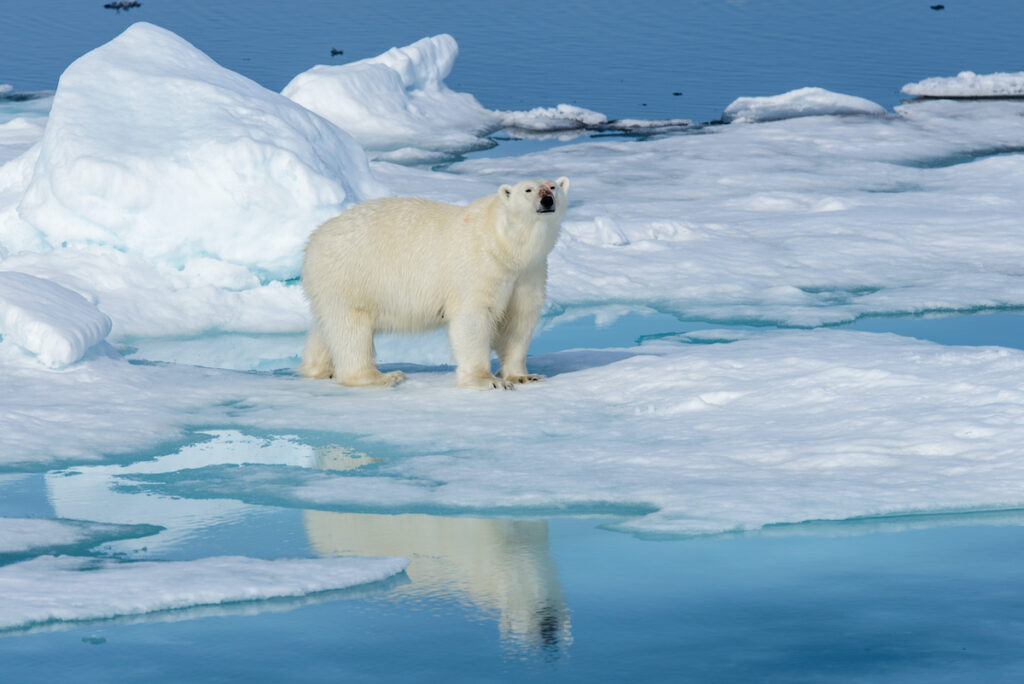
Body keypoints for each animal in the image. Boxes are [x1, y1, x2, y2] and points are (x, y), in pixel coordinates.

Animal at [299, 177, 570, 390]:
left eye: (553, 186)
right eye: (528, 190)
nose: (547, 200)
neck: (506, 245)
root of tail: (314, 238)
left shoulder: (528, 272)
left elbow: (518, 319)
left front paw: (524, 376)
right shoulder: (478, 265)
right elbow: (474, 317)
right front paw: (488, 381)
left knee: (327, 325)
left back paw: (319, 369)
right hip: (352, 274)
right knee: (351, 327)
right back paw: (381, 376)